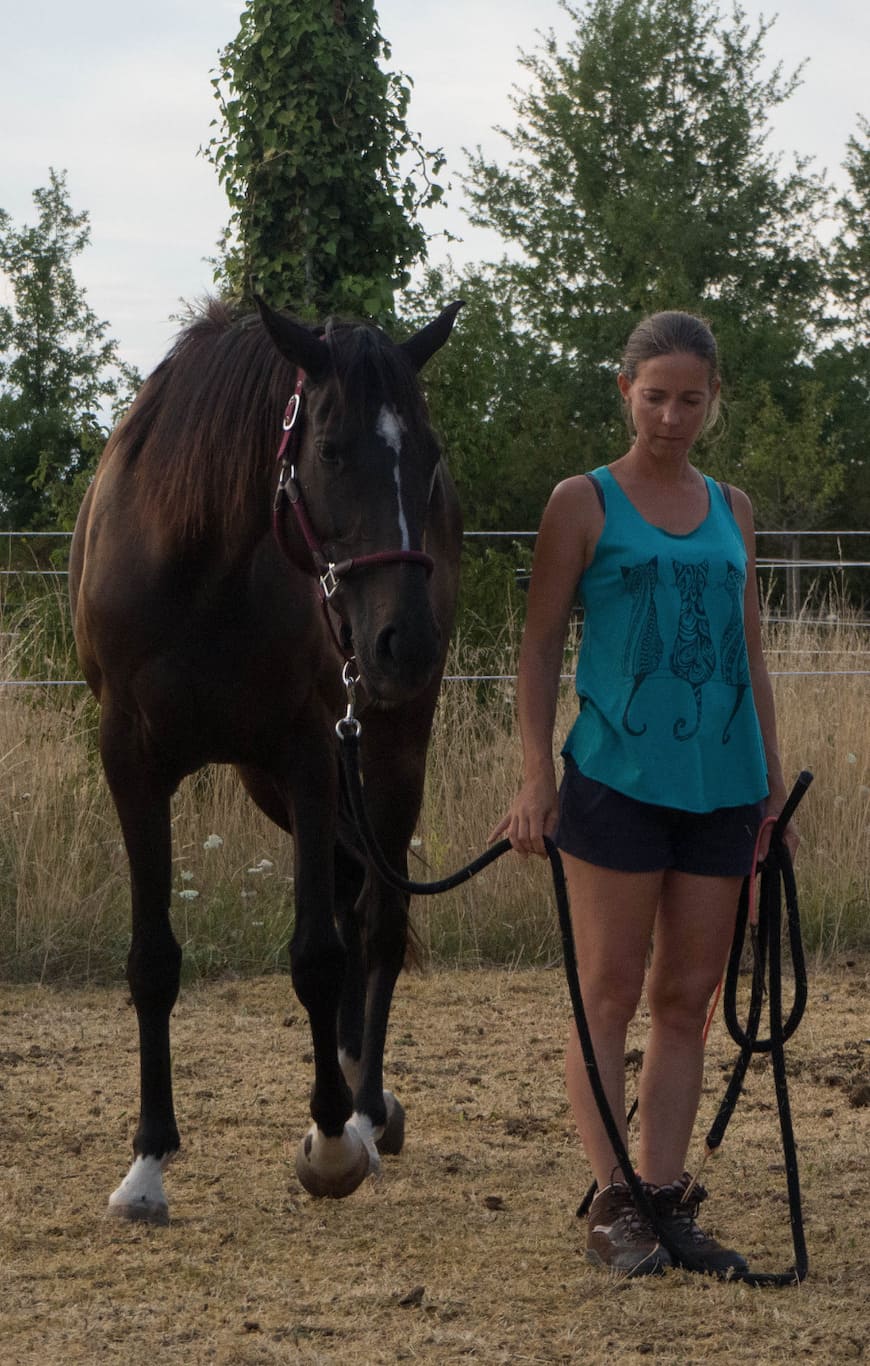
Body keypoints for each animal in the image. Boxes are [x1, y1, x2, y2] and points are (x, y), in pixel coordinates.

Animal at [69, 296, 461, 1218]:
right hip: (272, 785)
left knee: (378, 923)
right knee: (355, 899)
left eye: (428, 455)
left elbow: (317, 954)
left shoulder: (310, 752)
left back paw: (364, 1106)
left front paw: (332, 1142)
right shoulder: (131, 761)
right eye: (332, 449)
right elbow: (151, 961)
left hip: (389, 755)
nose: (406, 644)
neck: (198, 564)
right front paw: (147, 1160)